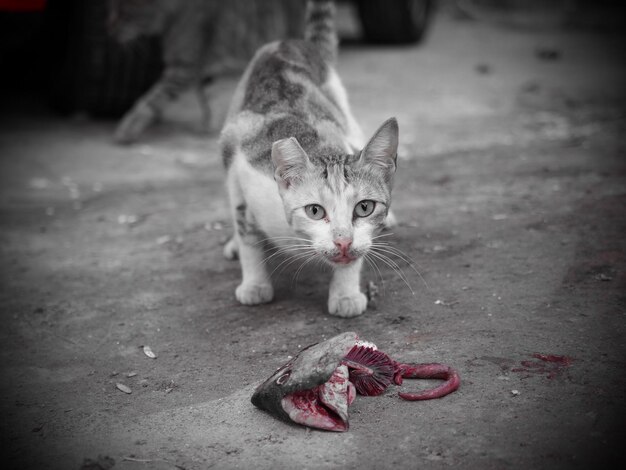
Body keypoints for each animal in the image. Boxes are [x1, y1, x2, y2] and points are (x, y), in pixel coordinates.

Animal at [108, 0, 304, 143]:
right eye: (113, 8)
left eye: (123, 12)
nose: (108, 26)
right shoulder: (205, 73)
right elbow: (210, 100)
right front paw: (212, 128)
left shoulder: (182, 69)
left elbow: (151, 100)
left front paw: (127, 127)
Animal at [217, 0, 398, 318]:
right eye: (314, 211)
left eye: (364, 208)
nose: (343, 241)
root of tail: (292, 42)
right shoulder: (239, 160)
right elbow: (247, 230)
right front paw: (254, 284)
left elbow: (357, 254)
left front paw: (345, 293)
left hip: (344, 116)